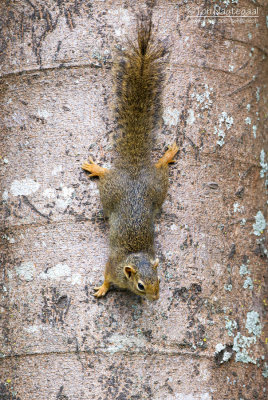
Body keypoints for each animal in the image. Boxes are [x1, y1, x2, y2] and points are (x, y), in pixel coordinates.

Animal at [81, 14, 178, 300]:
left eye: (160, 280)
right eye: (141, 286)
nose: (155, 298)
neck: (135, 257)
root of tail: (134, 169)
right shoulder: (112, 265)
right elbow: (106, 277)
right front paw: (102, 289)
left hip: (157, 187)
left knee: (159, 168)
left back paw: (166, 156)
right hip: (109, 193)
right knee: (106, 177)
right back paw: (98, 168)